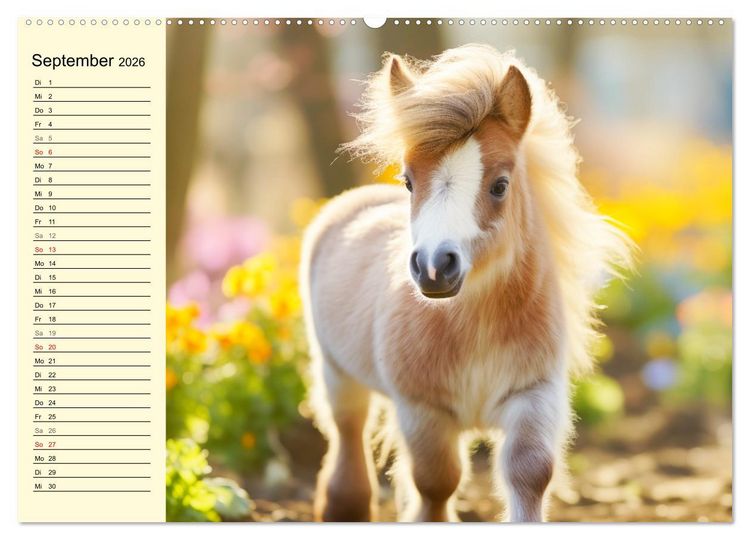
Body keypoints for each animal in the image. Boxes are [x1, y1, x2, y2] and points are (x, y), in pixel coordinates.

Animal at [299, 44, 633, 522]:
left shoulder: (534, 396)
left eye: (500, 185)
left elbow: (530, 473)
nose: (435, 266)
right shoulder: (422, 410)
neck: (477, 326)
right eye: (408, 181)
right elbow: (436, 482)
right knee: (348, 431)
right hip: (337, 372)